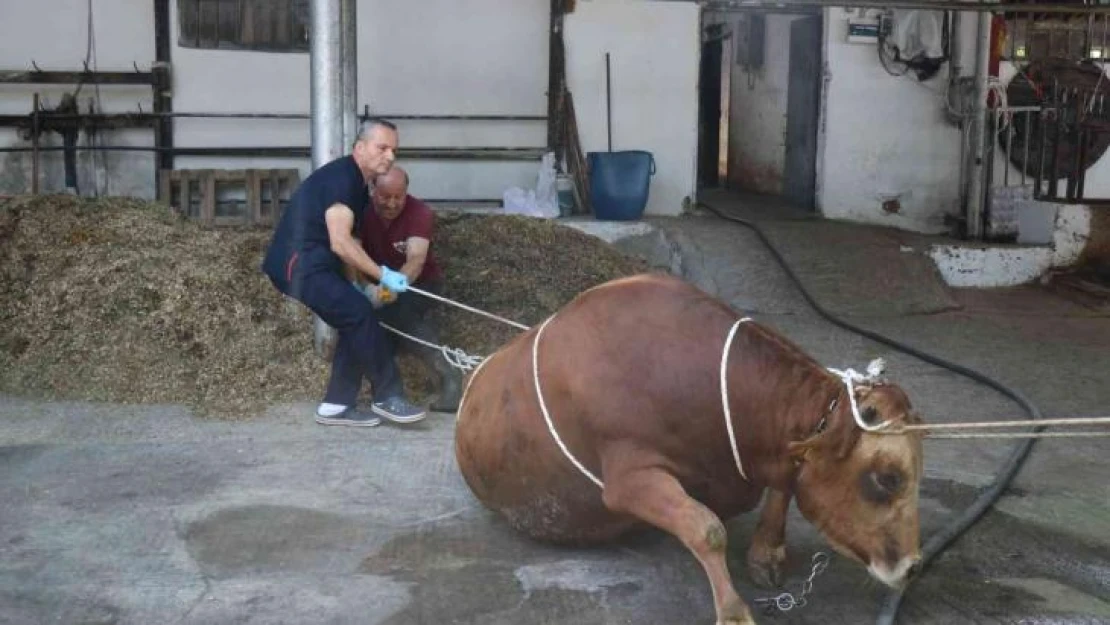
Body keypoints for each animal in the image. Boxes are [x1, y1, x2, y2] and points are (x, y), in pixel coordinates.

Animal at [452, 275, 927, 625]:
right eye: (887, 478)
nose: (913, 567)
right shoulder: (627, 479)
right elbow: (707, 529)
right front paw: (734, 614)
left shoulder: (776, 454)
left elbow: (786, 484)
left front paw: (766, 554)